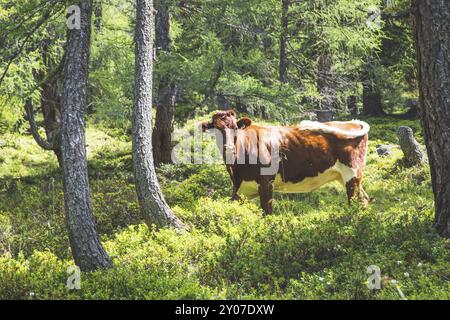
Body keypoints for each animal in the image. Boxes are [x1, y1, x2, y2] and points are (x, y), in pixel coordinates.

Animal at [202, 110, 370, 215]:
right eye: (216, 129)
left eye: (235, 128)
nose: (229, 147)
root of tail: (352, 122)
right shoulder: (238, 189)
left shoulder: (266, 182)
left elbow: (267, 213)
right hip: (347, 177)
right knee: (364, 200)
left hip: (352, 173)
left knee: (354, 203)